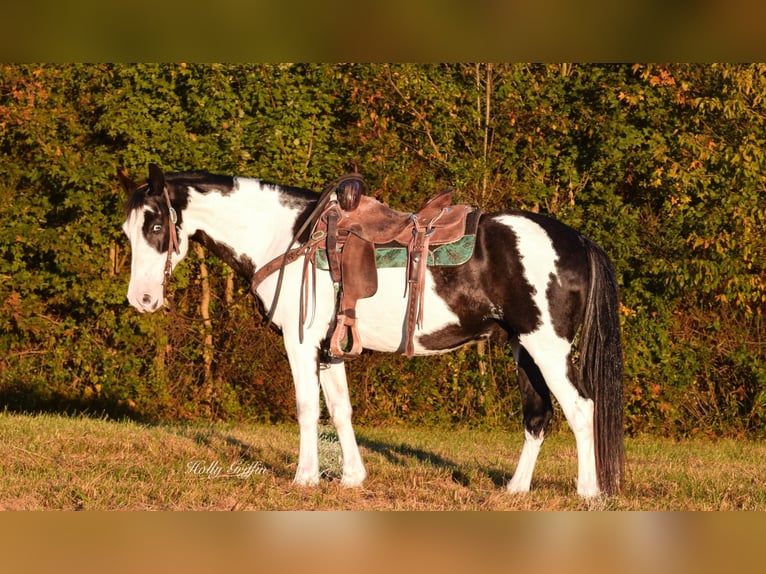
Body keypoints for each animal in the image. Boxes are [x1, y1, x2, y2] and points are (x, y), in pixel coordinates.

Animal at [118, 163, 624, 500]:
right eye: (126, 231)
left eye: (157, 225)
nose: (141, 299)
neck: (287, 239)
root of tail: (577, 240)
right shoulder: (329, 350)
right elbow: (341, 411)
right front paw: (351, 478)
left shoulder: (300, 344)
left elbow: (308, 409)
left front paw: (305, 479)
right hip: (525, 350)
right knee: (537, 417)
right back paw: (515, 490)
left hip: (548, 348)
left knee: (581, 409)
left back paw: (587, 492)